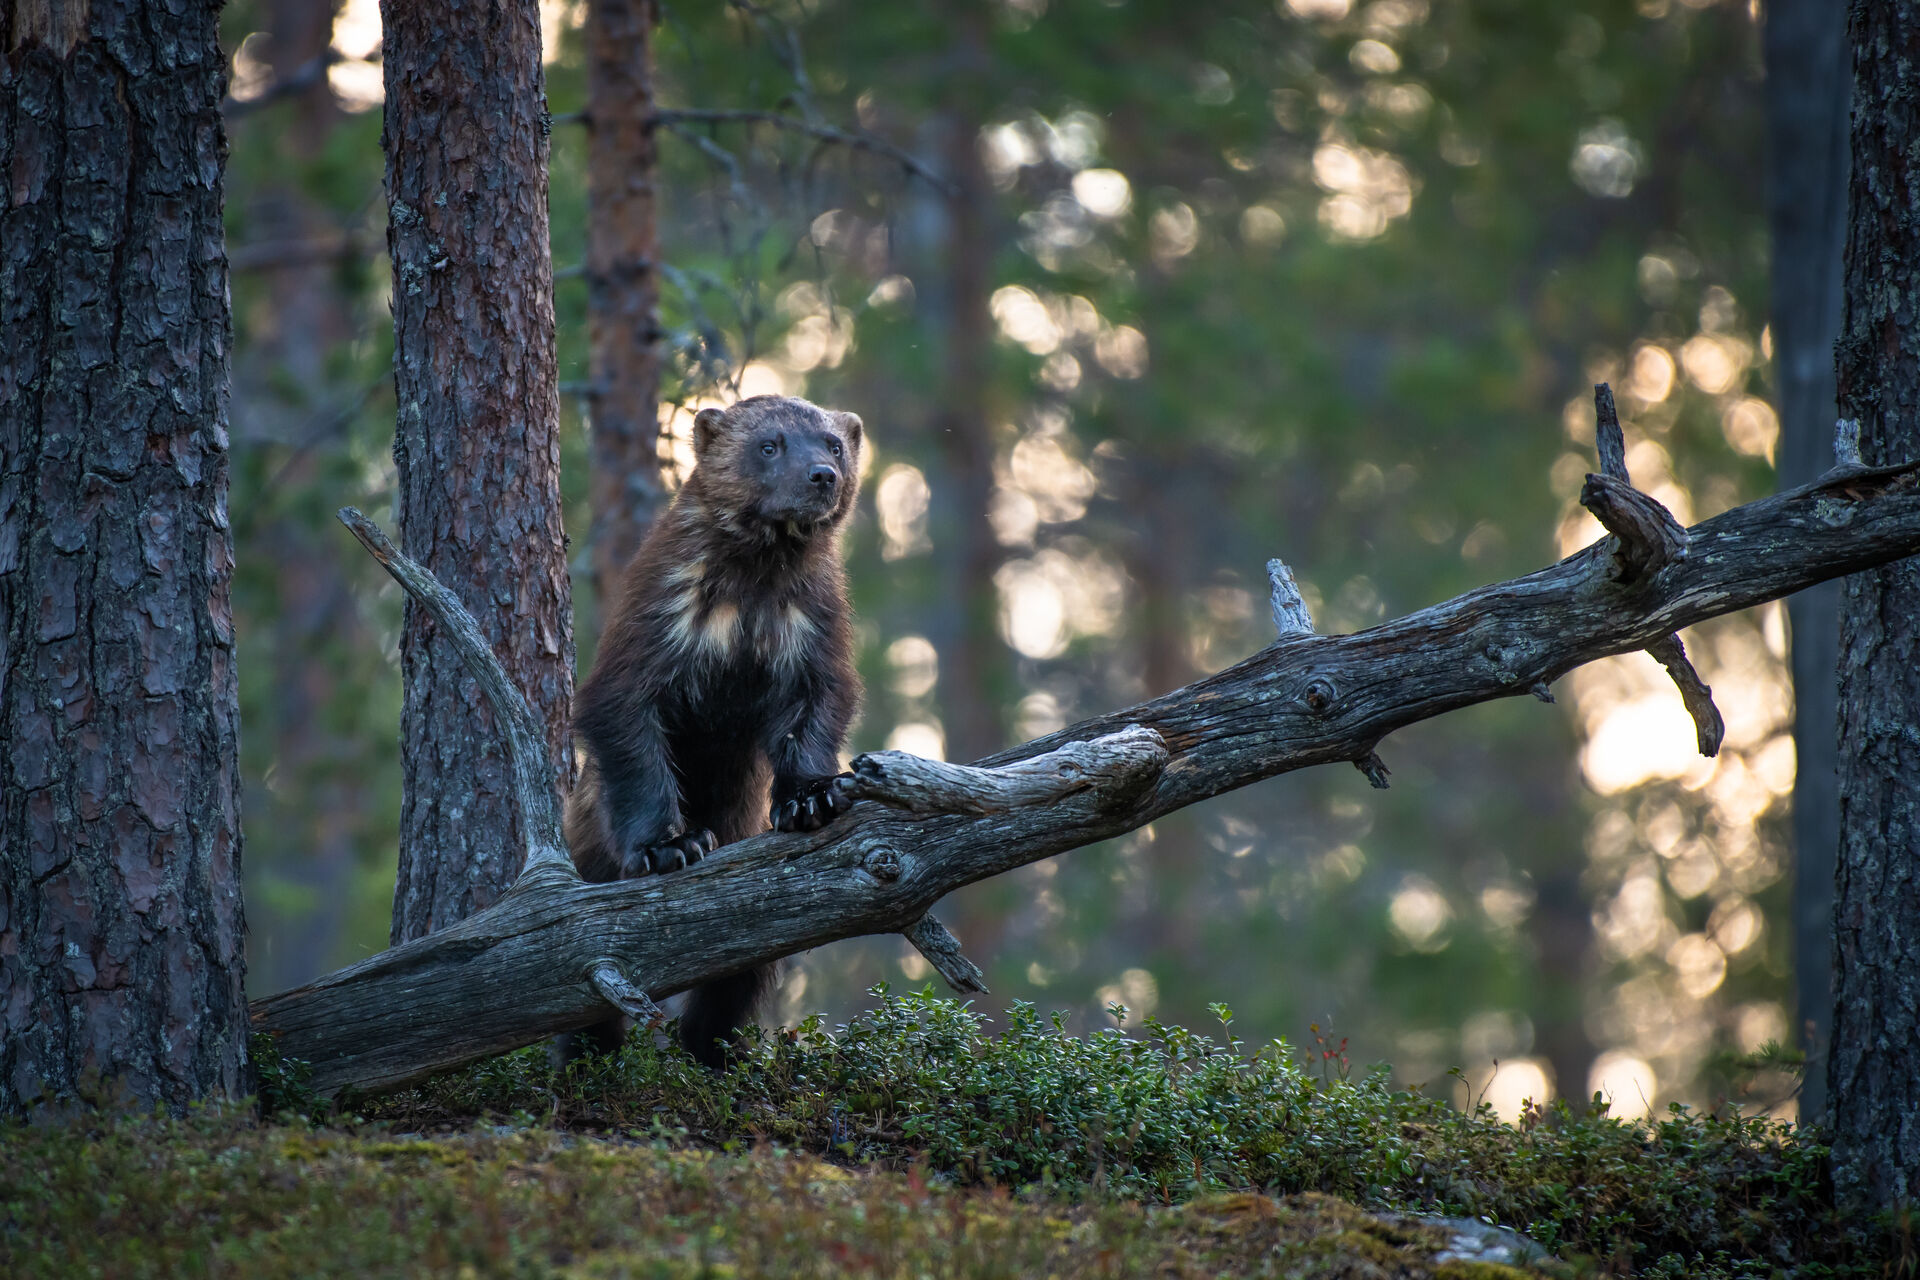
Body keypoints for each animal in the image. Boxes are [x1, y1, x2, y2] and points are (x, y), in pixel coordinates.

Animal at [561, 395, 865, 1067]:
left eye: (833, 443)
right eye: (770, 444)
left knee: (739, 976)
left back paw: (716, 1053)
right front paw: (670, 845)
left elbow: (817, 708)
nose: (822, 476)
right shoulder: (658, 611)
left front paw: (811, 798)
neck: (755, 584)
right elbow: (623, 718)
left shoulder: (815, 622)